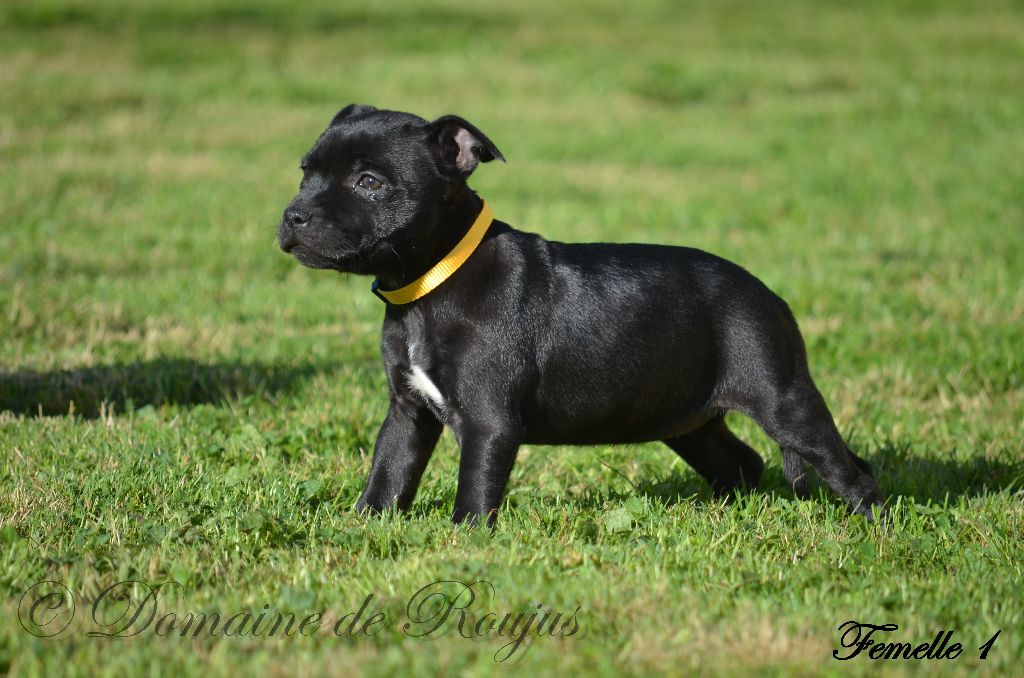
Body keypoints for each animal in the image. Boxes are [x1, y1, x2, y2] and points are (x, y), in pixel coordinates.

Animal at [276, 106, 884, 528]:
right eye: (304, 173)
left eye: (369, 182)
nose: (292, 214)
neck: (429, 284)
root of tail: (772, 297)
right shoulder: (408, 412)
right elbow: (388, 475)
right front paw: (363, 528)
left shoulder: (489, 421)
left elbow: (474, 489)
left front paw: (463, 541)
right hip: (685, 418)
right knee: (739, 461)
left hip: (783, 399)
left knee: (850, 469)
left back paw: (873, 528)